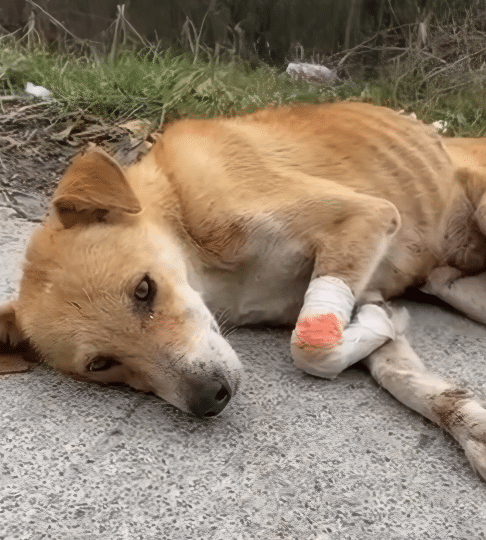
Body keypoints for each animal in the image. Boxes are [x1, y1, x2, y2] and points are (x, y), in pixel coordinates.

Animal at [2, 101, 486, 479]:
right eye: (101, 364)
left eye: (143, 290)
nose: (209, 399)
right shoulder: (360, 291)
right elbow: (401, 376)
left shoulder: (366, 216)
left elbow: (309, 348)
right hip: (459, 288)